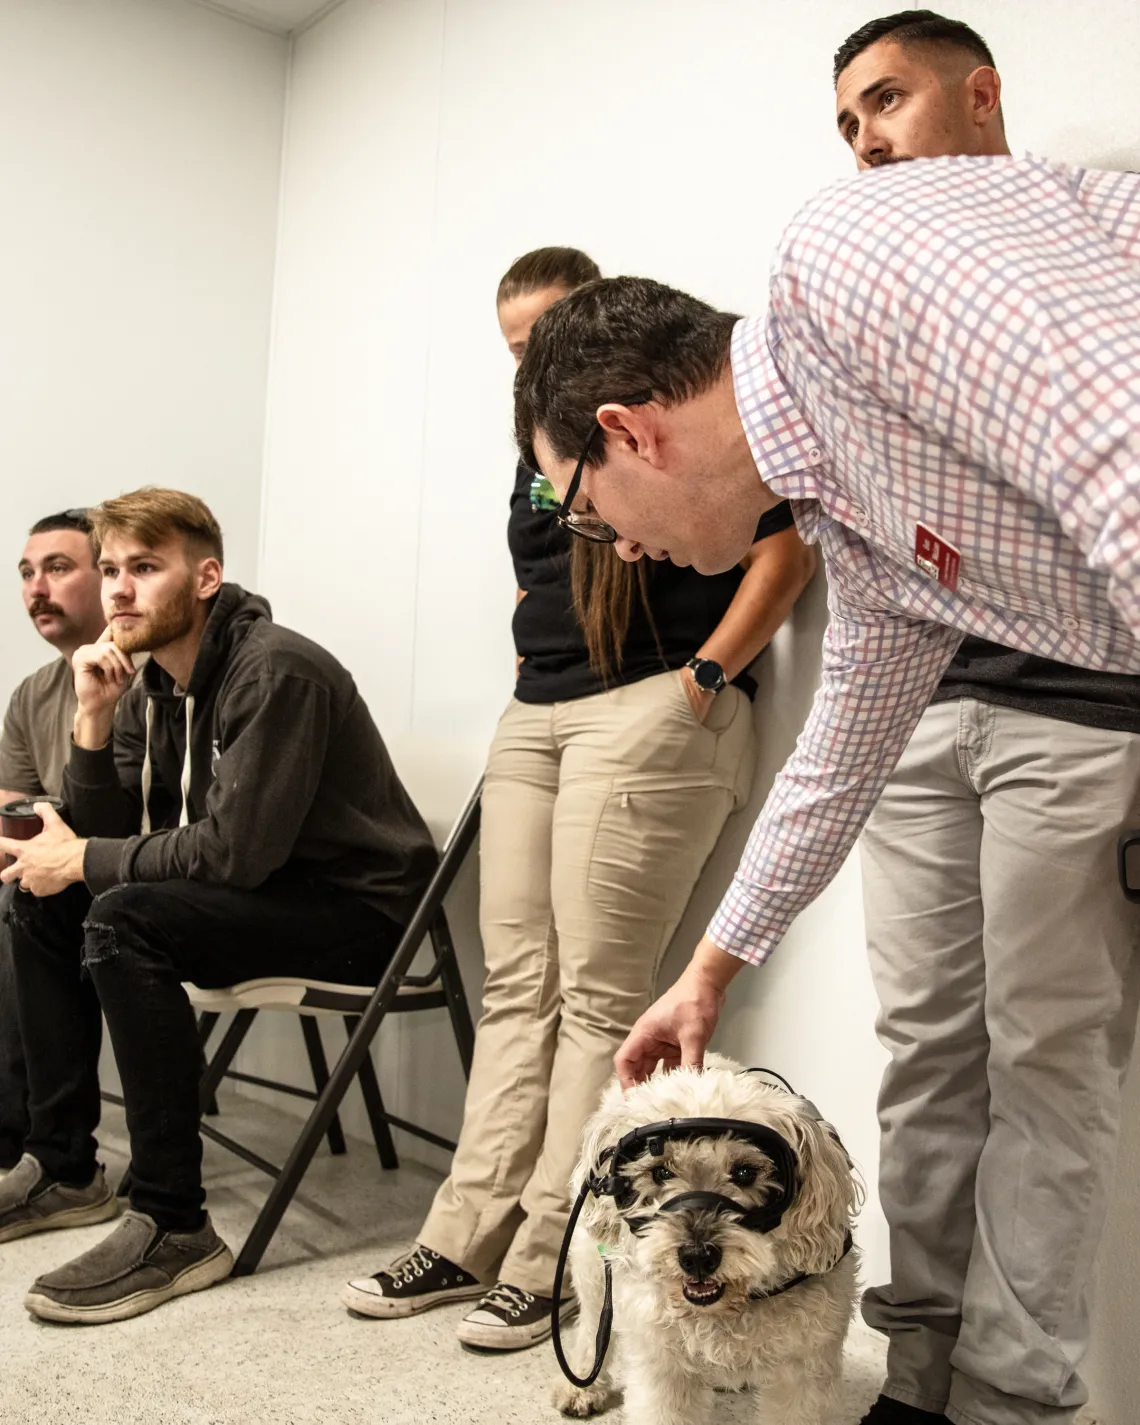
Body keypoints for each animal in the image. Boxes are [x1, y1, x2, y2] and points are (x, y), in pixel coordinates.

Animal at [547, 1054, 860, 1419]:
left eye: (745, 1173)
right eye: (661, 1172)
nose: (697, 1257)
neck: (725, 1312)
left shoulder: (804, 1376)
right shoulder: (663, 1372)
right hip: (593, 1271)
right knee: (592, 1327)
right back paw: (580, 1387)